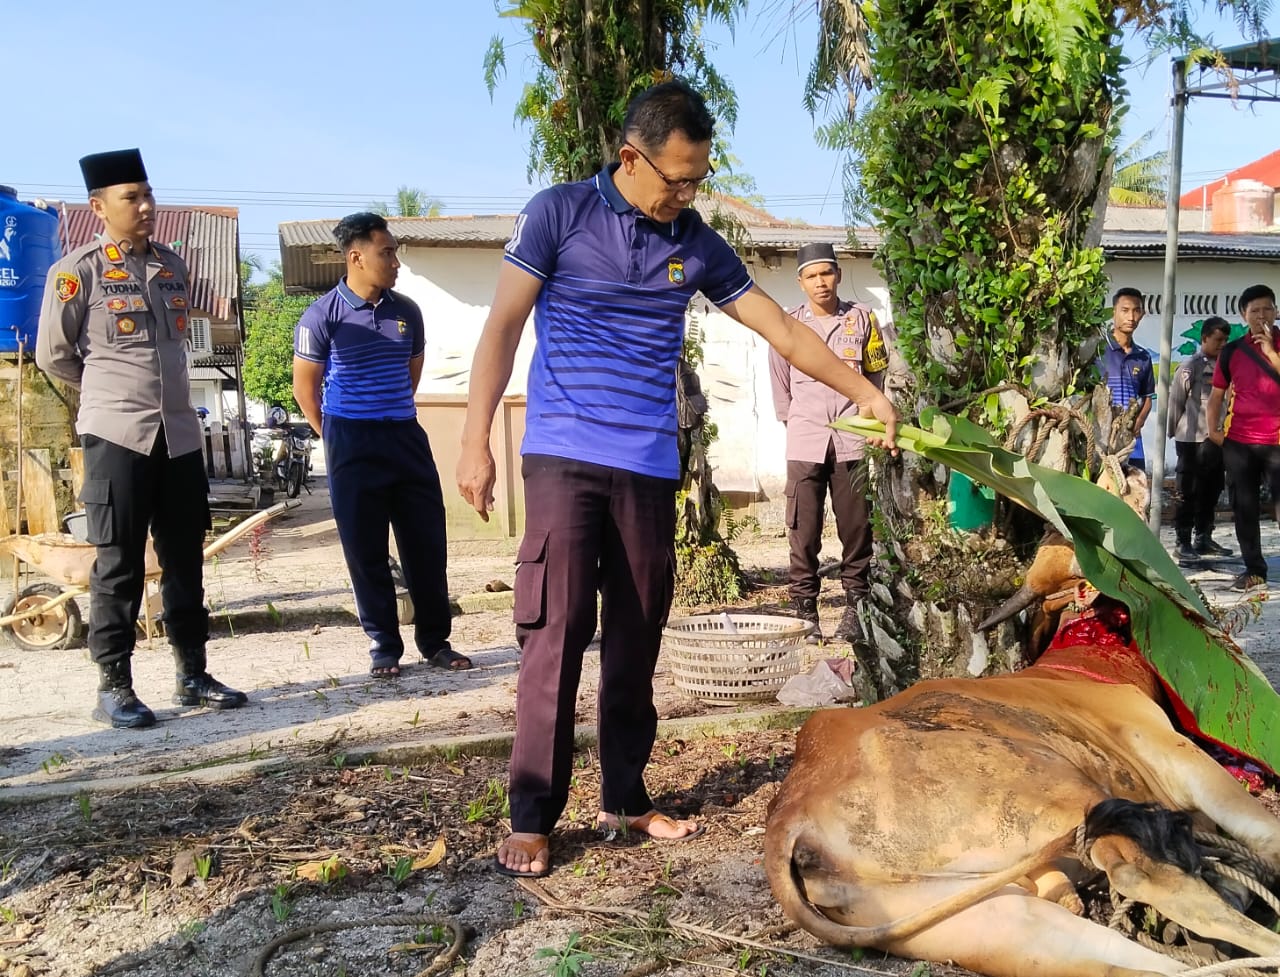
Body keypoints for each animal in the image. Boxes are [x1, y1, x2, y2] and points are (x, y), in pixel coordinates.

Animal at [757, 535, 1280, 977]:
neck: (1082, 664)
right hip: (1056, 792)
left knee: (1101, 958)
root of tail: (790, 812)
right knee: (1142, 873)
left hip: (985, 917)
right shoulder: (1178, 755)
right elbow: (1265, 834)